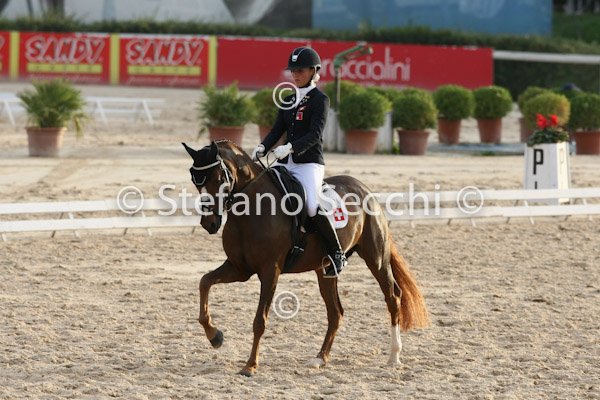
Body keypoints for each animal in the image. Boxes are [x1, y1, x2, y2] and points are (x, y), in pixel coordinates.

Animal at [183, 140, 429, 376]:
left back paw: (394, 356)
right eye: (195, 180)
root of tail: (365, 189)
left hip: (376, 258)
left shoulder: (270, 271)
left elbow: (260, 320)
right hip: (325, 270)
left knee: (393, 297)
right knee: (335, 313)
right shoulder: (239, 268)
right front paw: (215, 336)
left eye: (218, 178)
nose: (209, 223)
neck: (253, 208)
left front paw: (250, 365)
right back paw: (320, 358)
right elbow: (204, 282)